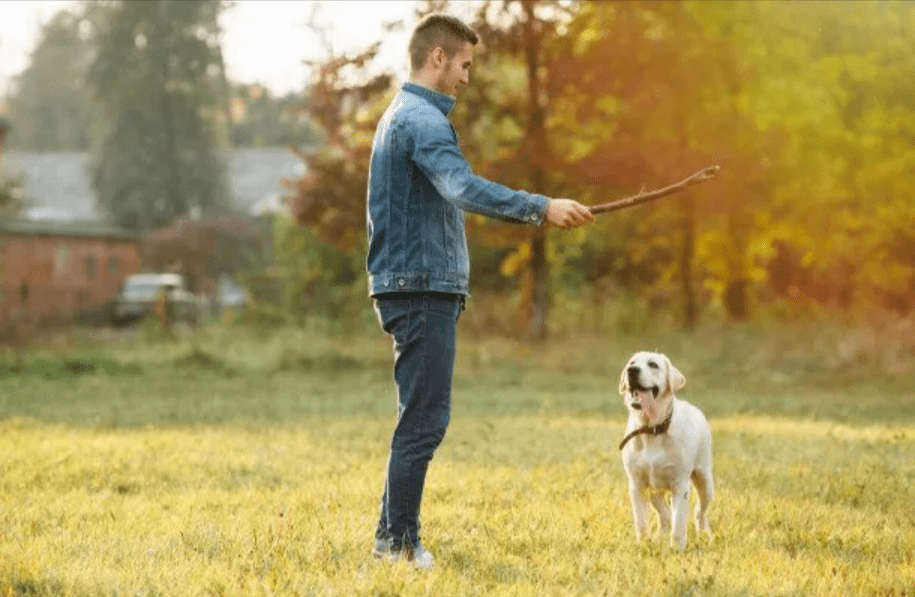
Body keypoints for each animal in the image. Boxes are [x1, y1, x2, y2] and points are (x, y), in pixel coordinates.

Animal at [620, 350, 712, 548]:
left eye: (653, 364)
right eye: (632, 363)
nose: (632, 371)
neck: (652, 430)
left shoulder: (680, 483)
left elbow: (679, 522)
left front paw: (677, 548)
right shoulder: (636, 485)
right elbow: (641, 522)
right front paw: (643, 545)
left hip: (705, 480)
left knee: (699, 512)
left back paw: (704, 534)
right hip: (654, 490)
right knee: (664, 513)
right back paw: (660, 535)